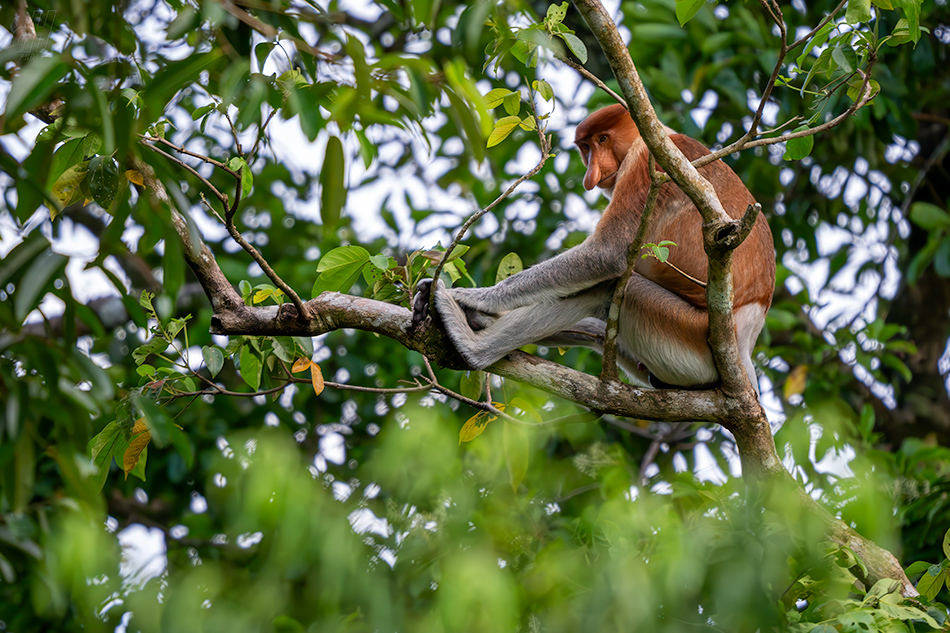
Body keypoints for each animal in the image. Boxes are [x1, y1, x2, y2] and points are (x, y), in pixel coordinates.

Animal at [412, 102, 776, 390]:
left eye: (603, 139)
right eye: (585, 147)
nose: (592, 172)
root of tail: (744, 344)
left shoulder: (648, 165)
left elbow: (607, 254)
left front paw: (468, 296)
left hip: (690, 336)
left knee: (610, 289)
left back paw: (472, 346)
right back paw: (478, 322)